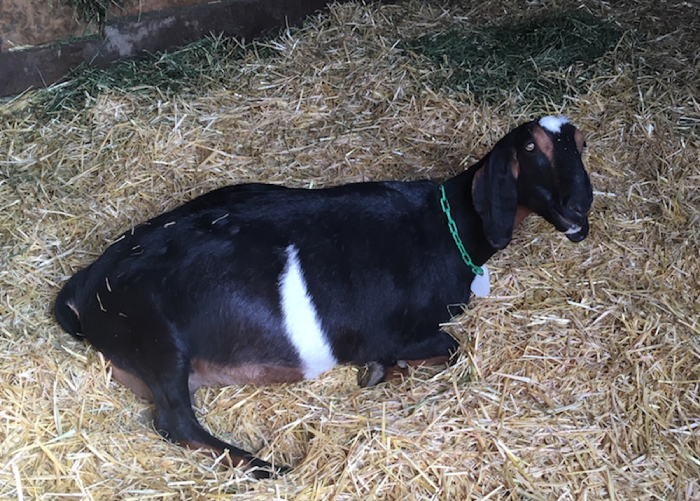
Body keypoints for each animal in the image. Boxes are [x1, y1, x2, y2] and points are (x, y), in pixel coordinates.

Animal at [54, 116, 592, 478]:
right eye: (532, 147)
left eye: (582, 145)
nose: (580, 205)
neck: (445, 226)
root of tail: (88, 282)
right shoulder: (390, 331)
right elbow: (451, 349)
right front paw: (380, 370)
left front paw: (381, 371)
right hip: (158, 344)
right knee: (175, 422)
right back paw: (265, 467)